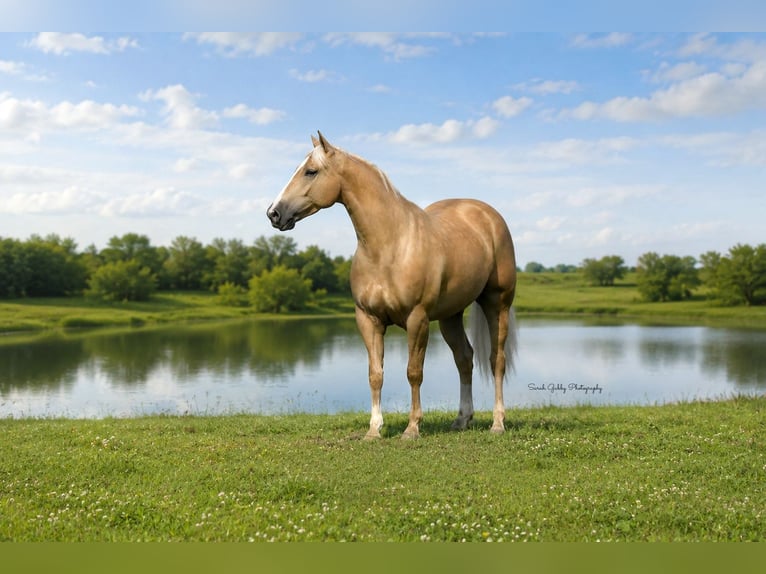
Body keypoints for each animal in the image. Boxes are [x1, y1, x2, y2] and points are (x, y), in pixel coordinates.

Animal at [267, 132, 517, 439]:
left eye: (310, 171)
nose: (274, 213)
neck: (389, 246)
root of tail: (488, 215)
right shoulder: (368, 319)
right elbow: (375, 374)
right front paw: (374, 429)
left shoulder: (417, 319)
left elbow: (414, 372)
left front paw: (412, 428)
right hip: (450, 316)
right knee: (464, 358)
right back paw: (462, 419)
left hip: (497, 304)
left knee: (497, 360)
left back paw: (498, 423)